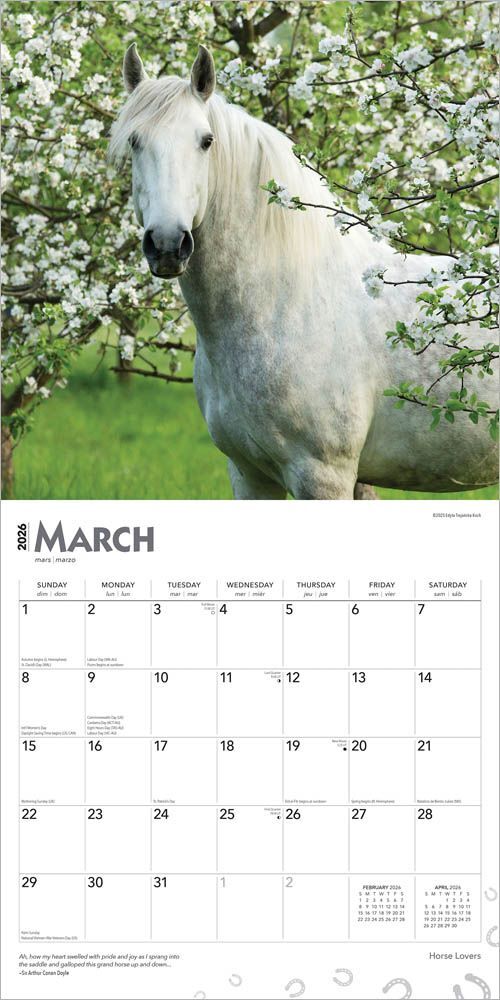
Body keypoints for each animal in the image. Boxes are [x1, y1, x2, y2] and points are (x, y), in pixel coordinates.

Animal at [109, 44, 498, 499]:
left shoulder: (323, 476)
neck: (281, 303)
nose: (168, 244)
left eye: (206, 141)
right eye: (135, 141)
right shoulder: (249, 476)